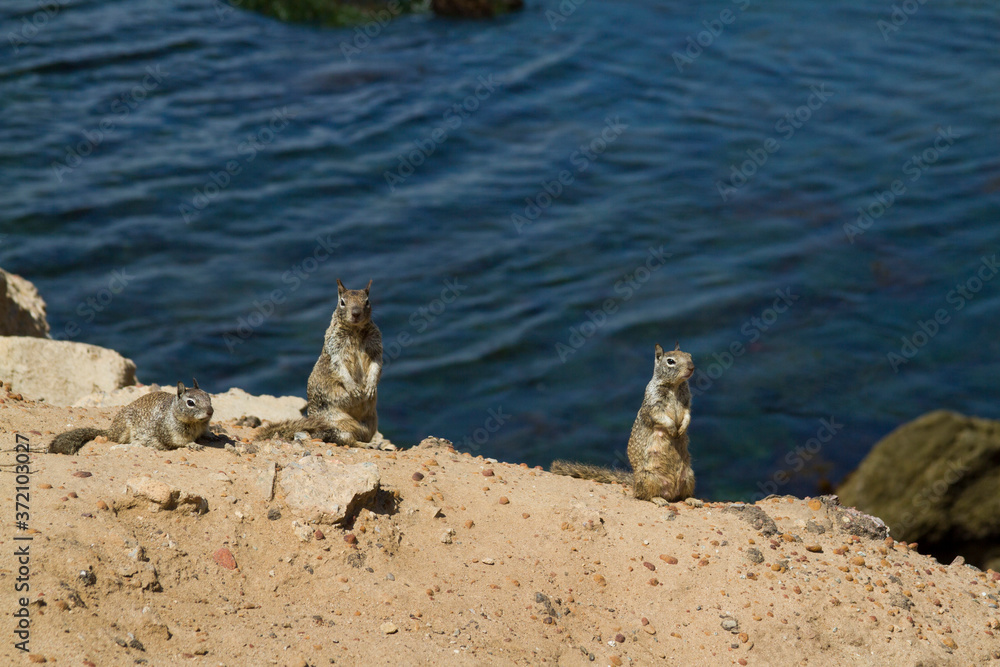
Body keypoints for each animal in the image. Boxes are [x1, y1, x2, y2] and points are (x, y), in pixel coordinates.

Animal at [49, 380, 214, 455]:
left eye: (208, 396)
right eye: (190, 403)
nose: (210, 412)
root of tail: (110, 430)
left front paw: (212, 435)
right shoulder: (170, 432)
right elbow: (180, 442)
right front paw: (193, 444)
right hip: (124, 430)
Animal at [256, 279, 387, 449]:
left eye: (367, 301)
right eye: (342, 302)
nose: (356, 313)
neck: (355, 331)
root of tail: (315, 431)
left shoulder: (376, 347)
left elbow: (377, 365)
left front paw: (370, 386)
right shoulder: (334, 350)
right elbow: (339, 367)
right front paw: (354, 388)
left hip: (370, 423)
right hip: (339, 424)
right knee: (345, 440)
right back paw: (365, 445)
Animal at [552, 343, 696, 502]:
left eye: (689, 355)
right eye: (670, 361)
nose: (691, 367)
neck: (675, 386)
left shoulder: (687, 403)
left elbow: (687, 414)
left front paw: (683, 427)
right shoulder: (653, 405)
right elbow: (659, 416)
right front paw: (672, 428)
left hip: (689, 476)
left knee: (682, 496)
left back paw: (692, 500)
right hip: (649, 478)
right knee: (643, 495)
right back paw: (658, 499)